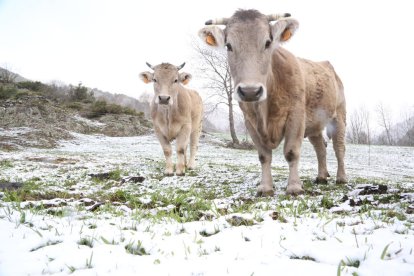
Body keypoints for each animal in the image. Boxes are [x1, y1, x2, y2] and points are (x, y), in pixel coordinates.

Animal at [200, 9, 346, 196]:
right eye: (228, 46)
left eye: (268, 43)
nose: (250, 91)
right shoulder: (250, 121)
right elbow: (264, 156)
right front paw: (266, 187)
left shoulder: (296, 116)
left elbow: (291, 152)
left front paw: (294, 187)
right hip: (315, 124)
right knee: (320, 148)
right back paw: (321, 177)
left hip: (339, 117)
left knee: (339, 147)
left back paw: (341, 178)